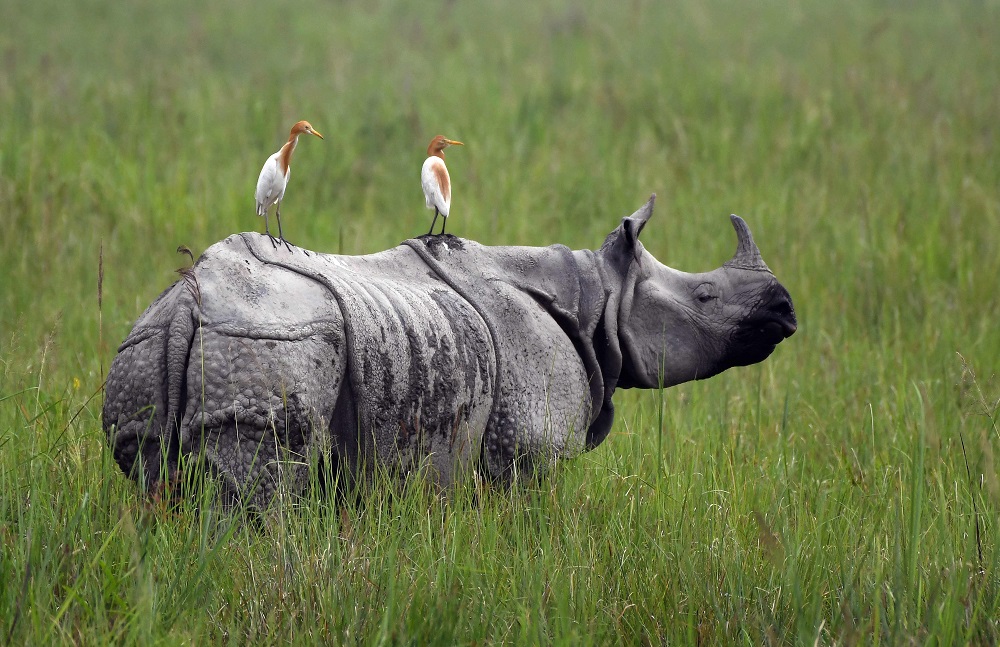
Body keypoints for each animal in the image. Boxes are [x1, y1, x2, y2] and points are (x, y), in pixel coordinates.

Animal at [103, 195, 796, 506]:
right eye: (705, 296)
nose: (785, 310)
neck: (600, 295)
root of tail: (185, 304)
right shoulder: (527, 452)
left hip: (149, 345)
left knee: (155, 480)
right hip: (267, 340)